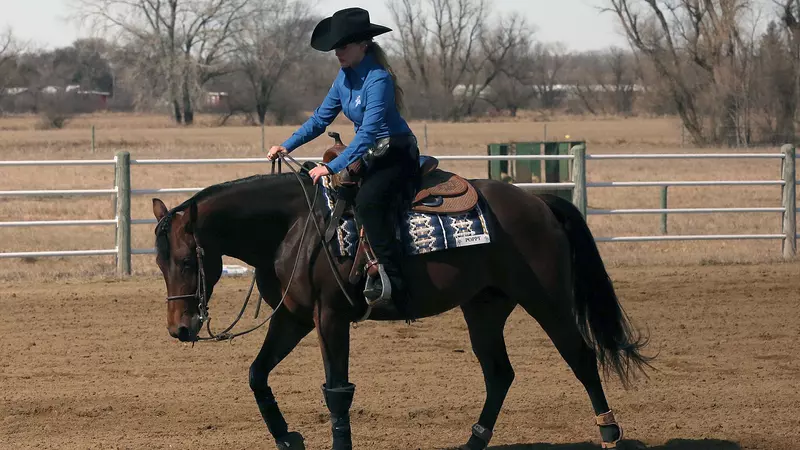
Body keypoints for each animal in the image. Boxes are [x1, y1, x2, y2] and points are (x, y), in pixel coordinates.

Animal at [150, 163, 648, 448]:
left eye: (185, 260)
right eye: (158, 262)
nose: (180, 328)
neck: (296, 227)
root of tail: (538, 202)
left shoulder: (331, 317)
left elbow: (337, 392)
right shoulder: (294, 317)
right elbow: (257, 374)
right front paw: (288, 437)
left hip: (546, 298)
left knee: (581, 357)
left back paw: (609, 433)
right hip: (484, 308)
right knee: (499, 374)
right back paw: (473, 443)